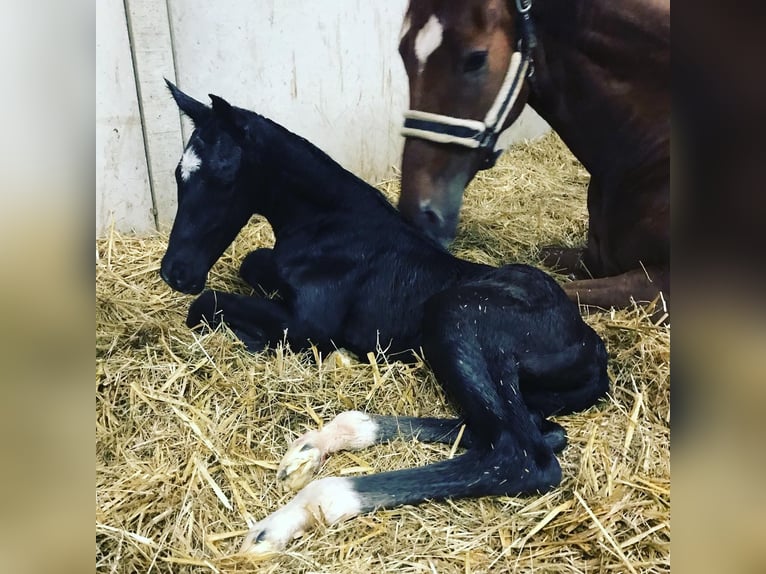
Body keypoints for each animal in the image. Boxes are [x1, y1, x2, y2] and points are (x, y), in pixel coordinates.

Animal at [159, 81, 608, 560]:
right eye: (178, 174)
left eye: (222, 179)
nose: (175, 272)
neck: (335, 226)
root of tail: (594, 348)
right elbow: (250, 263)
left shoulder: (308, 327)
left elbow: (207, 303)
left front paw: (251, 336)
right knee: (537, 429)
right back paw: (315, 445)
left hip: (455, 317)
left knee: (520, 455)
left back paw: (293, 515)